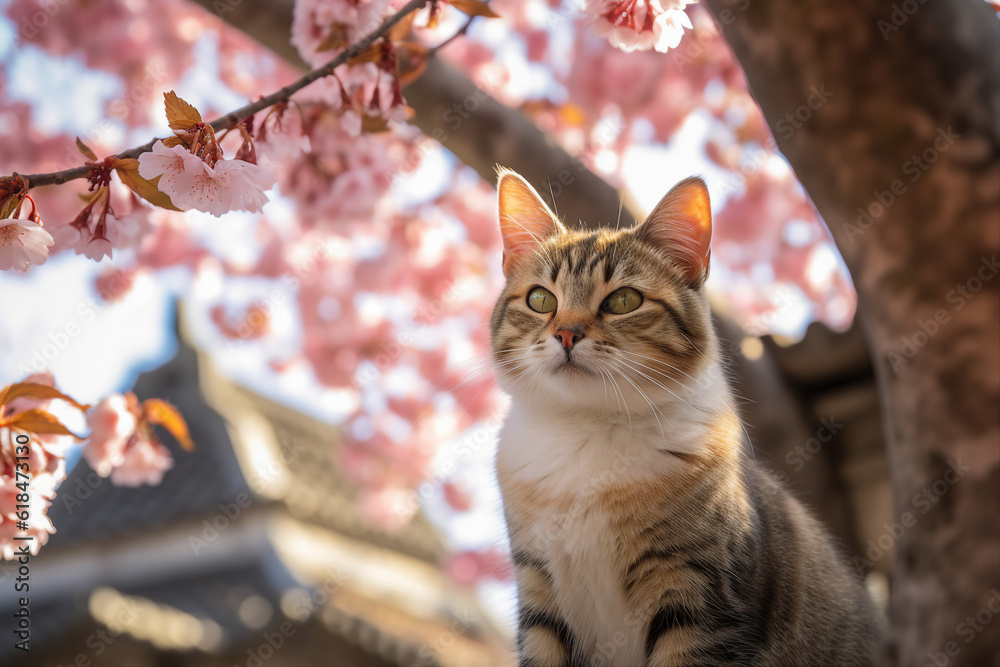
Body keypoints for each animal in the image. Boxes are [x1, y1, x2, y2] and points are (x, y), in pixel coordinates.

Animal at [488, 168, 880, 667]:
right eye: (540, 299)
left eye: (623, 301)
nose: (566, 334)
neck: (589, 431)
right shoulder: (539, 593)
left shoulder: (697, 596)